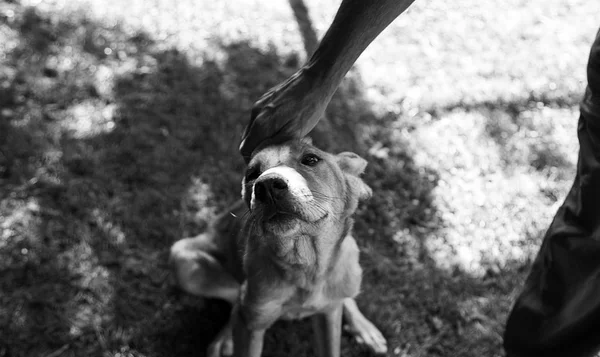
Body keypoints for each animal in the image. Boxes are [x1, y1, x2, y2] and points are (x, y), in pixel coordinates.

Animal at [169, 139, 386, 356]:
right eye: (252, 174)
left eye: (311, 159)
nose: (266, 186)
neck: (306, 267)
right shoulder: (252, 326)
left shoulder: (329, 314)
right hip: (184, 264)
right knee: (235, 299)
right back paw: (226, 338)